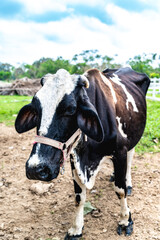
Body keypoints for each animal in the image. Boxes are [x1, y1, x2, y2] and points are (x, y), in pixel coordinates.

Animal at [14, 66, 150, 239]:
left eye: (71, 109)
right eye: (37, 110)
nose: (35, 169)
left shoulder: (120, 152)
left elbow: (120, 191)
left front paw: (125, 221)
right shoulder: (74, 158)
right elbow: (79, 197)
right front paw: (76, 228)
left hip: (133, 137)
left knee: (130, 159)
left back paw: (128, 182)